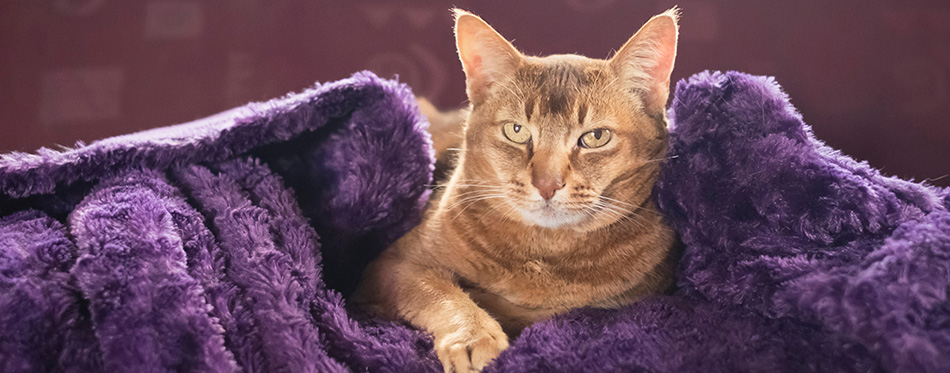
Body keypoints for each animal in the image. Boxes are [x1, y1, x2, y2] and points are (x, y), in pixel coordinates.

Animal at [354, 7, 680, 370]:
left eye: (596, 137)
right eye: (516, 131)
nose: (547, 184)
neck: (541, 252)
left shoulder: (632, 297)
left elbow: (556, 311)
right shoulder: (393, 264)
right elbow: (439, 293)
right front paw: (473, 336)